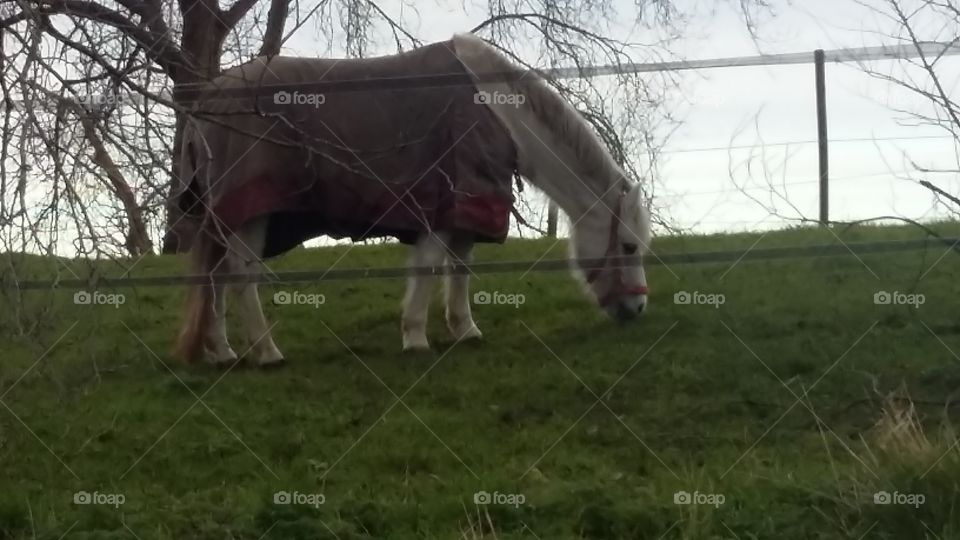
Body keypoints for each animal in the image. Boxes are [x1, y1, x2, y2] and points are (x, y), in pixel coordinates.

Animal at [171, 33, 651, 366]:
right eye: (628, 247)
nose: (638, 307)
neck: (497, 112)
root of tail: (206, 102)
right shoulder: (439, 209)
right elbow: (429, 267)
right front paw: (416, 337)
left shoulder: (467, 207)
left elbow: (460, 268)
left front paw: (464, 329)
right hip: (251, 215)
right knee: (238, 275)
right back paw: (266, 351)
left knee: (214, 276)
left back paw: (221, 351)